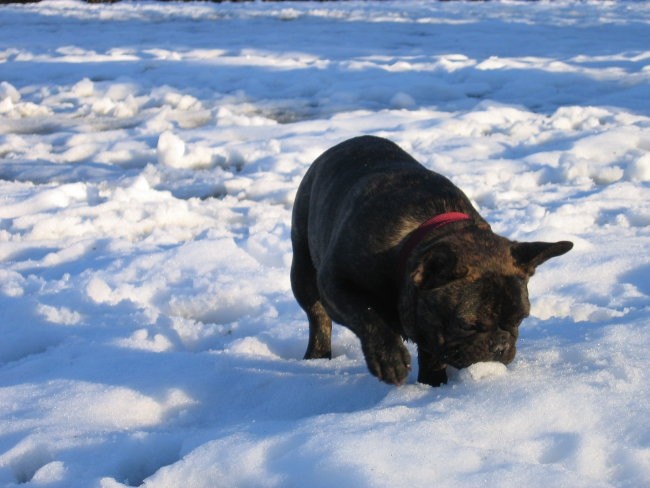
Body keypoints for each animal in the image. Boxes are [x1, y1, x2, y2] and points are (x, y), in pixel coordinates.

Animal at [292, 135, 568, 386]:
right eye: (466, 325)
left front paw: (433, 384)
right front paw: (389, 357)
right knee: (318, 317)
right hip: (304, 273)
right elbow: (368, 315)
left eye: (520, 320)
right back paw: (318, 355)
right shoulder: (335, 283)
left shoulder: (431, 326)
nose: (500, 345)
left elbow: (433, 352)